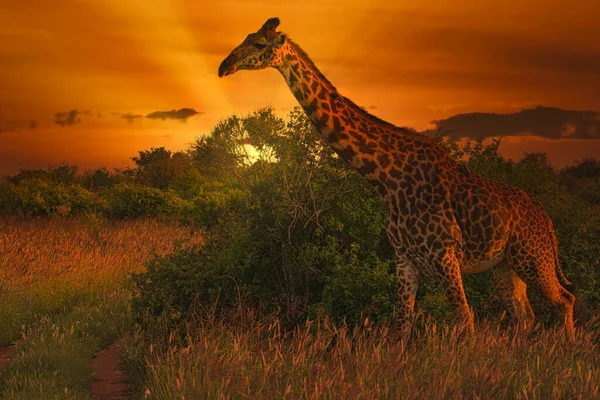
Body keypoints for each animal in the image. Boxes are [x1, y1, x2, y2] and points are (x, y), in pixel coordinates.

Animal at [218, 17, 580, 340]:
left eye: (259, 44)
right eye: (246, 36)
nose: (224, 66)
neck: (386, 179)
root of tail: (548, 223)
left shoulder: (445, 256)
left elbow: (465, 320)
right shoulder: (405, 259)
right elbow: (402, 326)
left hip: (533, 258)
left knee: (564, 300)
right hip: (505, 266)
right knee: (526, 316)